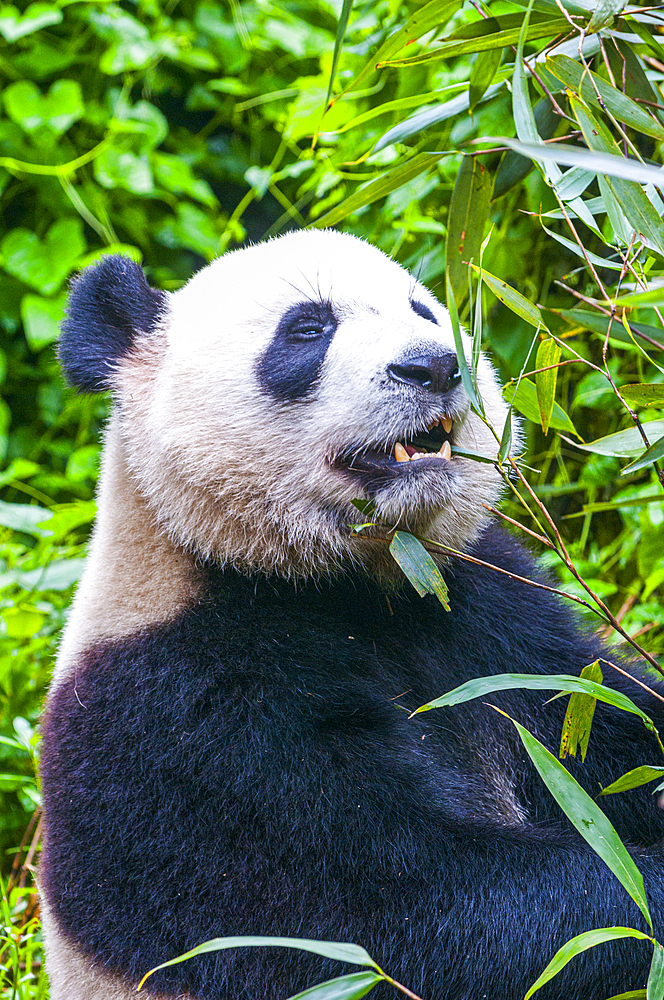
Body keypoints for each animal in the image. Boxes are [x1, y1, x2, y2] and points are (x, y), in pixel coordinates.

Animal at [40, 230, 664, 996]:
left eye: (424, 308)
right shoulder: (191, 715)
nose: (434, 366)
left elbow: (605, 725)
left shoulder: (488, 612)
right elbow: (404, 912)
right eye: (307, 328)